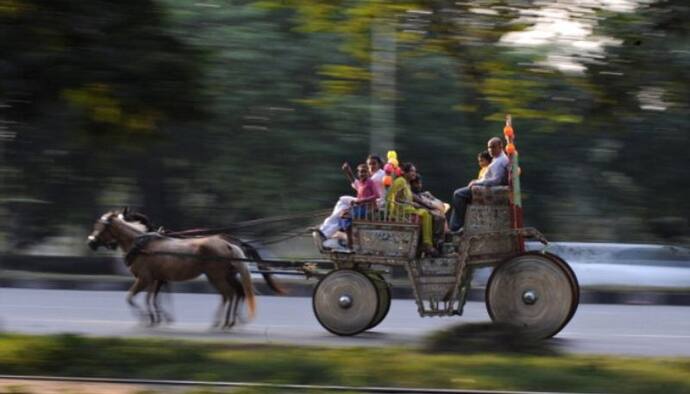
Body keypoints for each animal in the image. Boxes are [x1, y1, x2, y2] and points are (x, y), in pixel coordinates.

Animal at [88, 209, 264, 330]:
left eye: (100, 226)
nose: (91, 242)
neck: (142, 244)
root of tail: (228, 244)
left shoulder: (145, 278)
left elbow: (131, 298)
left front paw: (145, 318)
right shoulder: (154, 279)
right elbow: (150, 298)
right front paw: (155, 319)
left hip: (217, 277)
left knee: (229, 294)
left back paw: (223, 322)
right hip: (224, 276)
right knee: (235, 293)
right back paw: (230, 321)